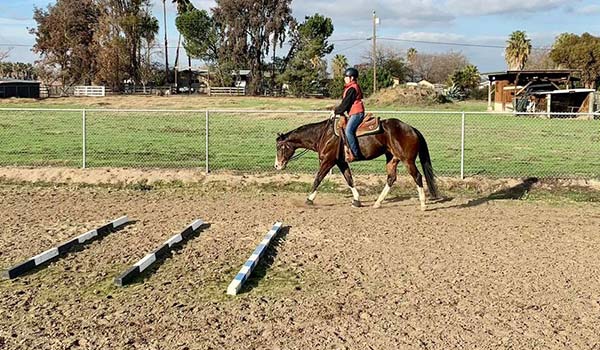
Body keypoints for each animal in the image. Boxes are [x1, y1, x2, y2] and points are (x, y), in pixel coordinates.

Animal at [274, 117, 438, 211]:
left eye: (280, 147)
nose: (277, 166)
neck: (323, 135)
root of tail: (411, 128)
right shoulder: (341, 162)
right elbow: (349, 180)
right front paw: (357, 200)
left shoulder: (328, 161)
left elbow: (318, 179)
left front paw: (309, 199)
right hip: (392, 159)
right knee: (391, 178)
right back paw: (377, 203)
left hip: (407, 160)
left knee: (417, 177)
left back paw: (423, 205)